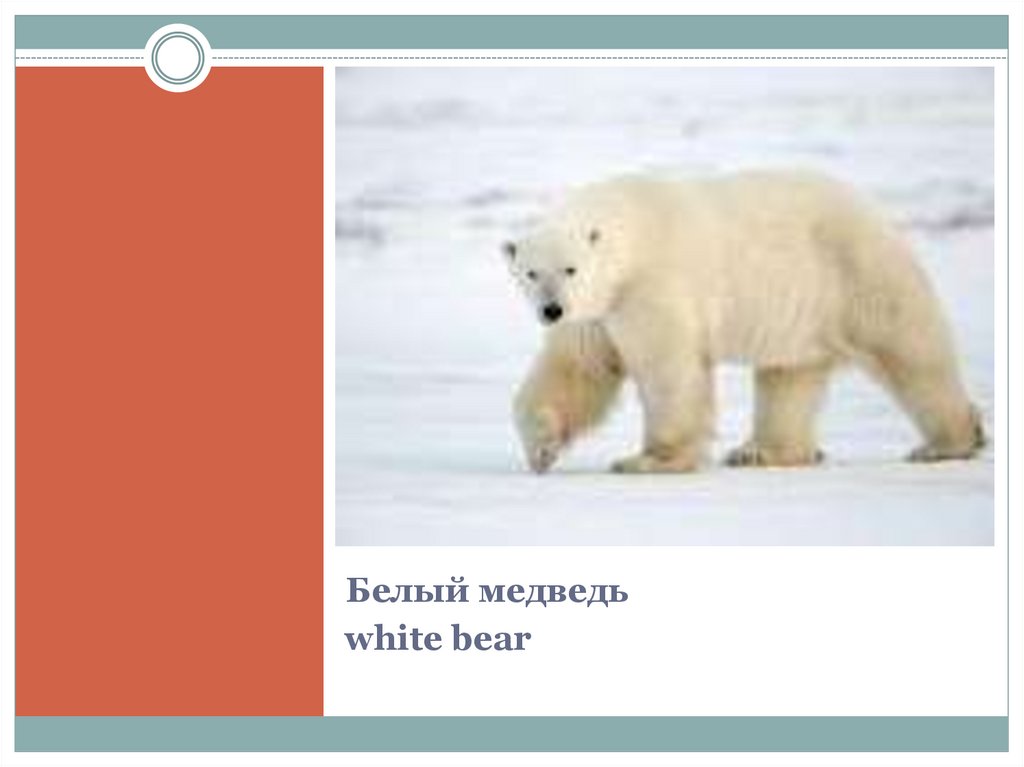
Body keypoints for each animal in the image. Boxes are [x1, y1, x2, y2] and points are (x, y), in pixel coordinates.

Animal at [504, 171, 985, 474]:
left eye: (570, 269)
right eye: (532, 273)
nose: (551, 310)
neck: (633, 234)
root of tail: (873, 211)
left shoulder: (652, 287)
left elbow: (667, 371)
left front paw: (649, 460)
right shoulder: (599, 313)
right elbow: (578, 369)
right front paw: (541, 447)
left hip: (855, 272)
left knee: (910, 350)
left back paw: (947, 443)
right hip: (801, 311)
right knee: (788, 378)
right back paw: (763, 452)